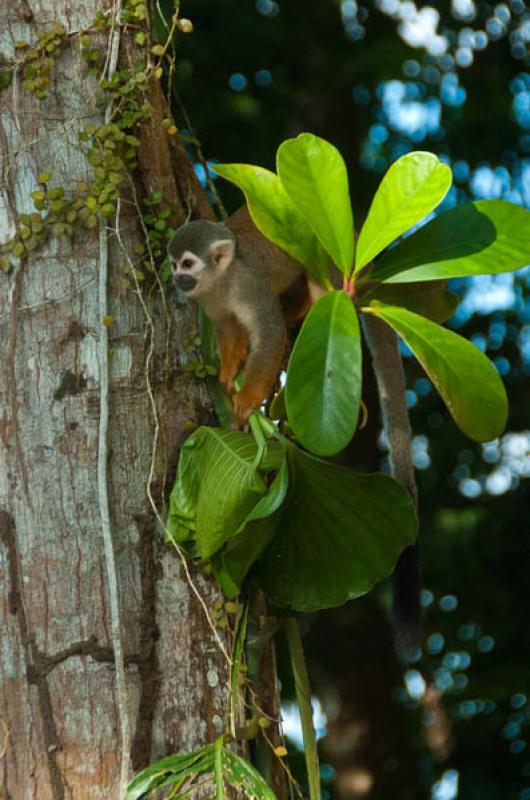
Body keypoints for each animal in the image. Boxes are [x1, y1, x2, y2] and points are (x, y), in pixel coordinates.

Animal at [167, 206, 322, 424]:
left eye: (187, 263)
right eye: (174, 265)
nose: (177, 277)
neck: (225, 276)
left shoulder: (250, 285)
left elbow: (270, 333)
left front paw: (248, 398)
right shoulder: (208, 295)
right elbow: (227, 325)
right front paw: (227, 374)